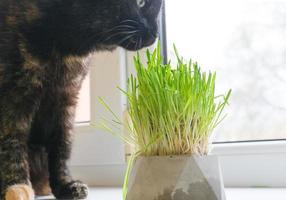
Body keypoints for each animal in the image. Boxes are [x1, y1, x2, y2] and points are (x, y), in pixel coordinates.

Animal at [0, 0, 162, 199]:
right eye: (141, 3)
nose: (156, 34)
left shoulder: (66, 99)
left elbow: (62, 145)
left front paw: (65, 185)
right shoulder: (13, 96)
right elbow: (11, 142)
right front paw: (17, 186)